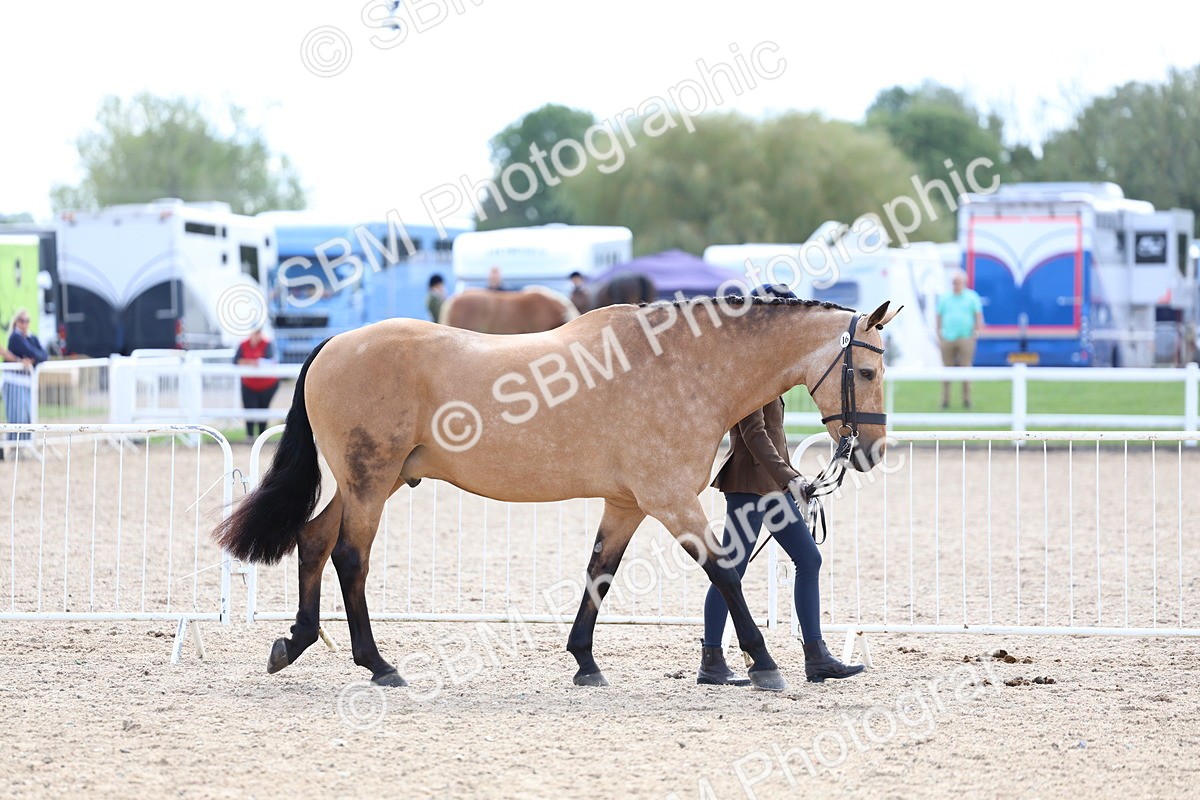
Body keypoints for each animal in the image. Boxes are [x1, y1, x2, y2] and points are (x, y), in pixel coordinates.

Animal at [215, 295, 900, 692]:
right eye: (867, 370)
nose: (870, 451)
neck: (683, 365)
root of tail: (335, 343)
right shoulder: (671, 500)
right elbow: (725, 573)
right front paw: (763, 664)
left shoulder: (628, 504)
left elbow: (600, 573)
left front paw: (585, 662)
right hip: (369, 484)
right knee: (349, 558)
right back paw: (378, 665)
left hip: (367, 485)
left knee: (312, 540)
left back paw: (294, 643)